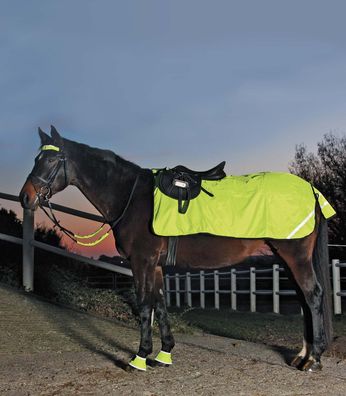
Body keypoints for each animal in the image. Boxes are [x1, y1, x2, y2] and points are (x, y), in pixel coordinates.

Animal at [18, 126, 332, 372]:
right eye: (35, 159)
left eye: (50, 160)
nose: (25, 197)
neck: (132, 197)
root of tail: (311, 190)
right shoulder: (155, 265)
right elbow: (160, 304)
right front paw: (163, 354)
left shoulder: (142, 261)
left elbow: (145, 304)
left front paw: (139, 358)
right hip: (286, 258)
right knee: (304, 300)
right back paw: (302, 355)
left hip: (295, 256)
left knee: (313, 296)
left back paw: (313, 360)